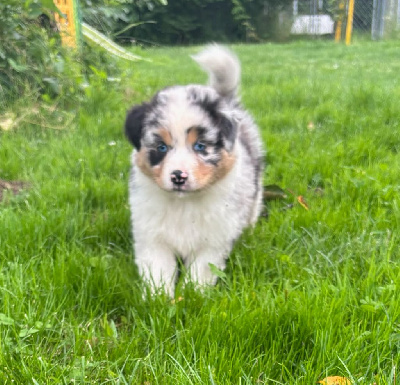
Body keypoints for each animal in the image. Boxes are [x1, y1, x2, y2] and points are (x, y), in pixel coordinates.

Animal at [123, 45, 264, 296]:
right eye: (161, 147)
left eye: (200, 146)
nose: (178, 176)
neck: (183, 204)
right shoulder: (152, 238)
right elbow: (158, 272)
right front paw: (159, 299)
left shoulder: (213, 241)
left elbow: (199, 273)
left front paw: (191, 297)